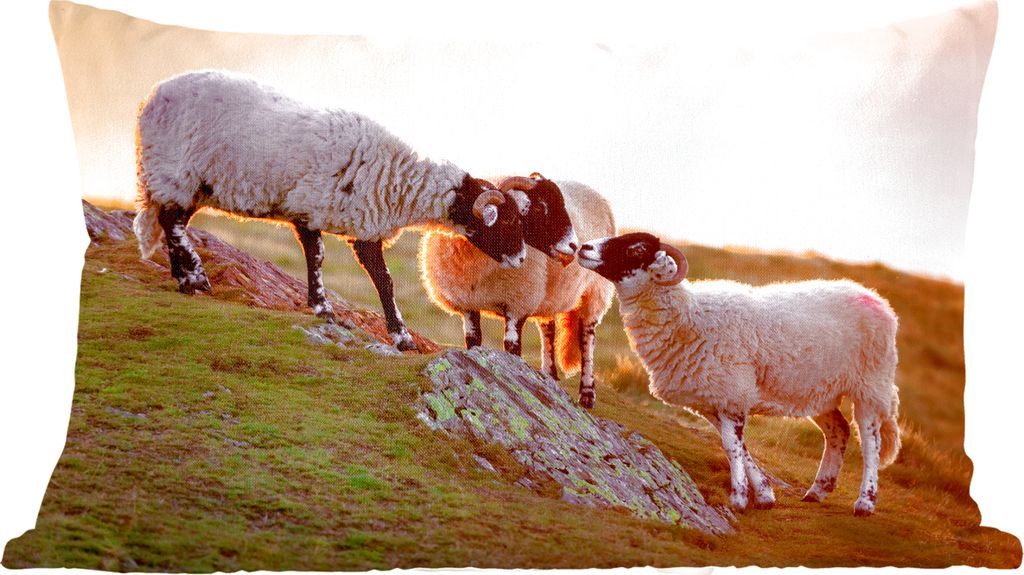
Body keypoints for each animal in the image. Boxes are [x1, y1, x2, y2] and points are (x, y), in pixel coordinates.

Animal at [132, 70, 525, 351]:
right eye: (505, 219)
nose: (522, 259)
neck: (396, 179)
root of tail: (151, 97)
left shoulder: (361, 227)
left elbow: (373, 277)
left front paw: (393, 334)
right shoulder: (311, 208)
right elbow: (333, 262)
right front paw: (330, 311)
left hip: (192, 185)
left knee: (172, 224)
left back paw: (182, 278)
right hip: (175, 172)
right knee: (170, 222)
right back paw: (196, 277)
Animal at [420, 174, 615, 408]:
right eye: (540, 207)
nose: (573, 246)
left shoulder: (519, 303)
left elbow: (511, 346)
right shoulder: (468, 303)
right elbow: (473, 340)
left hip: (596, 292)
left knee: (587, 339)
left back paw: (587, 394)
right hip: (548, 295)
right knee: (548, 331)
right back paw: (550, 375)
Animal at [578, 232, 901, 516]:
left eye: (637, 249)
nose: (583, 248)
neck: (687, 316)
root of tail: (879, 301)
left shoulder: (732, 394)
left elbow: (732, 447)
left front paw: (740, 498)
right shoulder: (713, 400)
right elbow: (738, 447)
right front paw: (765, 494)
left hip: (871, 383)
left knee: (871, 443)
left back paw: (865, 502)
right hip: (818, 390)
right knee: (838, 431)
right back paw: (818, 491)